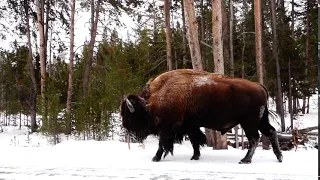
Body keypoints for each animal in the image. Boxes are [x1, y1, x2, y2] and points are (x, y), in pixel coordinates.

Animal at [120, 68, 282, 164]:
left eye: (130, 115)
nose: (127, 129)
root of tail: (260, 86)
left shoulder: (167, 128)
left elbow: (163, 144)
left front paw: (155, 158)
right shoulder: (190, 126)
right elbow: (195, 141)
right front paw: (195, 157)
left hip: (249, 122)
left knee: (254, 138)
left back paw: (245, 160)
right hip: (261, 120)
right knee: (271, 132)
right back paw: (279, 157)